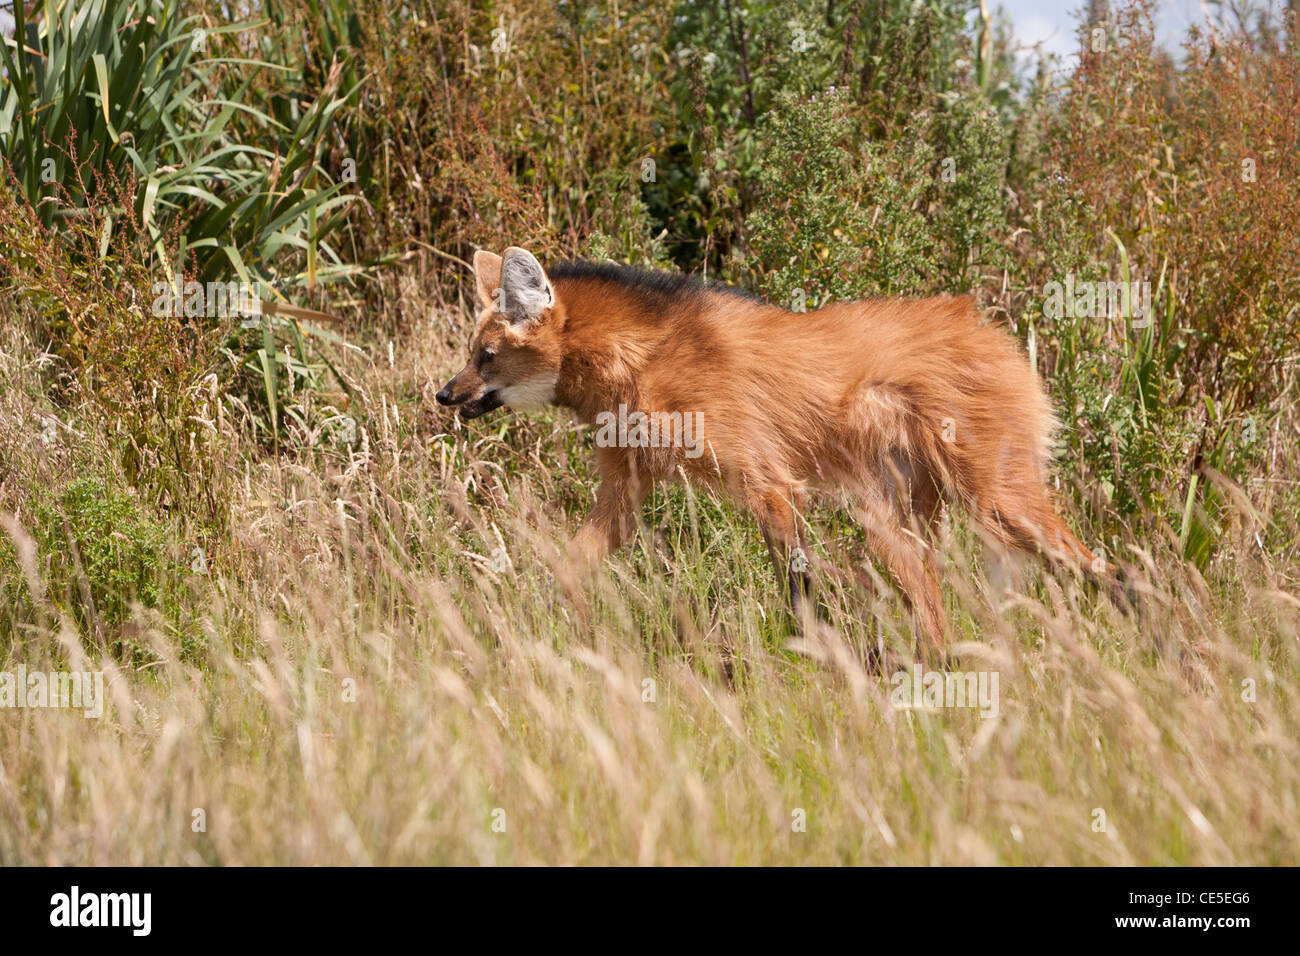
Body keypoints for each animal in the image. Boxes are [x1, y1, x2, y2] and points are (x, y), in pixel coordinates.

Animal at [436, 247, 1097, 658]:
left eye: (486, 356)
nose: (444, 394)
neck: (638, 361)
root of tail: (988, 326)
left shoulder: (769, 484)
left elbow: (798, 589)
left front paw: (813, 658)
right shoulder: (626, 489)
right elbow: (567, 567)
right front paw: (514, 629)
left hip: (992, 498)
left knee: (1099, 568)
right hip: (893, 518)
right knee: (932, 601)